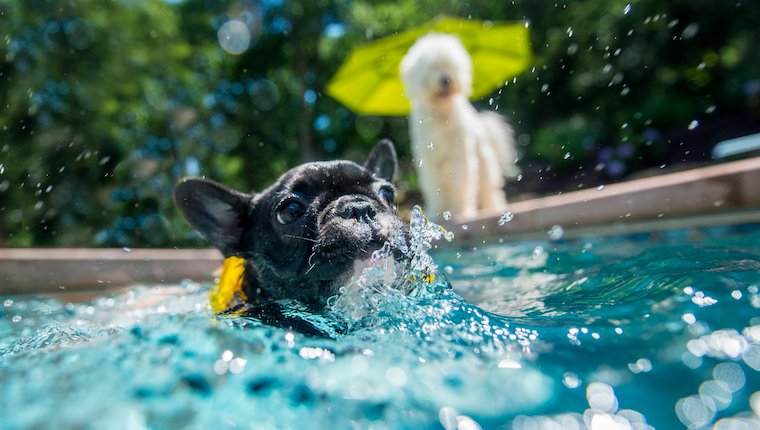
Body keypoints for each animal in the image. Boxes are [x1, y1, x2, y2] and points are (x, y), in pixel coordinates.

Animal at [398, 33, 516, 218]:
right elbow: (435, 189)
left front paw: (460, 211)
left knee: (489, 189)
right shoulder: (431, 162)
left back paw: (494, 208)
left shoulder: (459, 158)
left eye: (451, 66)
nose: (446, 79)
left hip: (484, 164)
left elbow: (461, 186)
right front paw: (437, 212)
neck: (441, 116)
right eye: (433, 67)